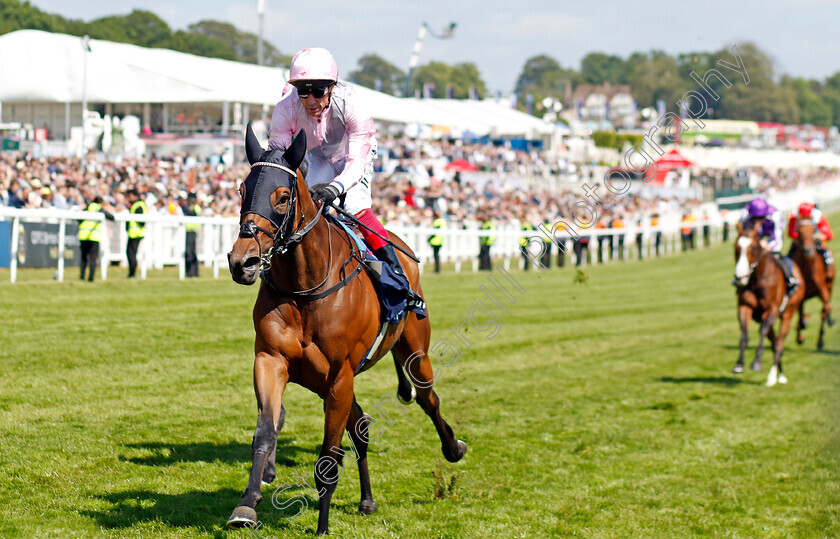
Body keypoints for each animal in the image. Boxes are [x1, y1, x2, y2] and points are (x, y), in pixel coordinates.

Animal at [226, 126, 470, 536]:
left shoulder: (340, 374)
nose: (241, 261)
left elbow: (328, 455)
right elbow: (266, 432)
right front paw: (247, 504)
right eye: (243, 189)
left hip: (413, 350)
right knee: (361, 427)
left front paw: (322, 526)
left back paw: (452, 448)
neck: (305, 287)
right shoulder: (272, 360)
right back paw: (367, 499)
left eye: (281, 197)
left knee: (426, 397)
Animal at [732, 220, 804, 388]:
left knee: (779, 344)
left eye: (754, 247)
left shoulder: (772, 310)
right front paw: (739, 364)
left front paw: (757, 362)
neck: (756, 280)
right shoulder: (745, 308)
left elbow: (762, 332)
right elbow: (744, 334)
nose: (740, 277)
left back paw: (774, 377)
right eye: (736, 247)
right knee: (775, 342)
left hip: (788, 313)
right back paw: (780, 374)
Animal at [796, 219, 832, 350]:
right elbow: (800, 316)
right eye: (798, 232)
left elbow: (824, 309)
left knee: (825, 310)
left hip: (829, 286)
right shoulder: (800, 297)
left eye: (813, 231)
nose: (808, 250)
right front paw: (800, 337)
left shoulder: (822, 290)